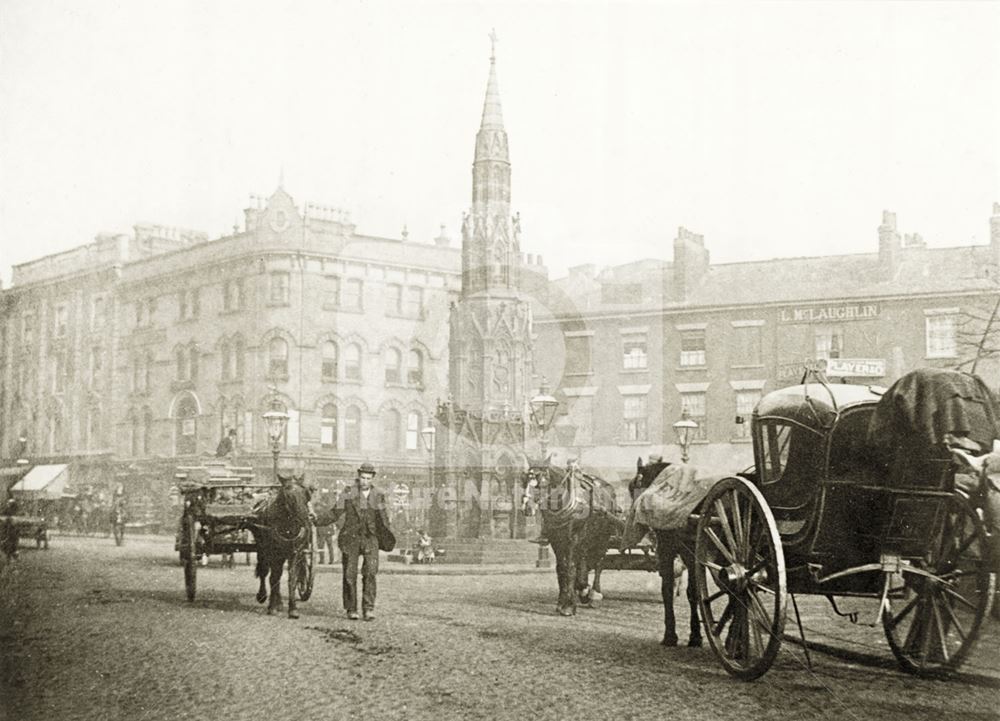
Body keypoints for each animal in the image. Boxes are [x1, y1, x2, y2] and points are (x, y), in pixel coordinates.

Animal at [248, 480, 310, 616]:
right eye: (288, 497)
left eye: (306, 495)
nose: (305, 519)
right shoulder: (273, 553)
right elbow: (273, 577)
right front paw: (272, 606)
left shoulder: (295, 552)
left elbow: (292, 578)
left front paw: (293, 608)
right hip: (262, 548)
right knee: (265, 571)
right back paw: (263, 596)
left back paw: (279, 602)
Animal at [524, 458, 624, 616]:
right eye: (525, 480)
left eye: (543, 481)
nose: (528, 507)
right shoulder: (556, 541)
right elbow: (562, 568)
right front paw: (562, 602)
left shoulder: (573, 539)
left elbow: (570, 568)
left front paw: (568, 606)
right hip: (586, 540)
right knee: (583, 561)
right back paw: (583, 588)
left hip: (602, 538)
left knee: (599, 563)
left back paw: (594, 593)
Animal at [624, 458, 704, 648]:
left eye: (632, 487)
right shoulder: (690, 556)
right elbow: (693, 592)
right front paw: (695, 635)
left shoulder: (671, 551)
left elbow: (668, 590)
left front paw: (671, 635)